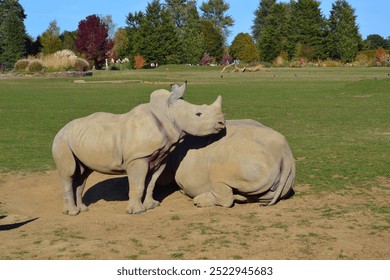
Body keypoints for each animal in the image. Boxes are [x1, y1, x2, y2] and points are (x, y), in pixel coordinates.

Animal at [53, 82, 227, 215]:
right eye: (198, 114)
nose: (222, 123)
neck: (167, 113)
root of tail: (61, 129)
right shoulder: (138, 158)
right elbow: (138, 184)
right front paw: (137, 211)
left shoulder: (160, 158)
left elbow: (150, 184)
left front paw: (152, 205)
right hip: (62, 141)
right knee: (69, 174)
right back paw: (72, 213)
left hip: (79, 139)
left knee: (82, 175)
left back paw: (83, 209)